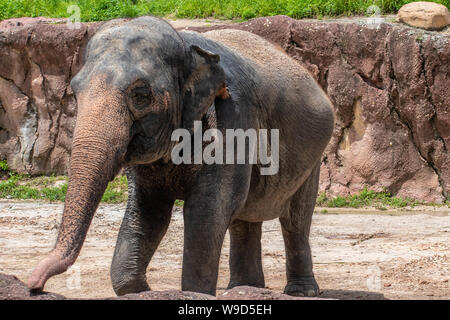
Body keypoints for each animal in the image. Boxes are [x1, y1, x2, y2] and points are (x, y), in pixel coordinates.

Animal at [25, 16, 334, 298]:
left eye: (140, 95)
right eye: (75, 92)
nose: (34, 285)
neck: (186, 45)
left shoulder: (232, 119)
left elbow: (207, 210)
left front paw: (194, 294)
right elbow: (148, 211)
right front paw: (139, 290)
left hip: (313, 156)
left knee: (295, 219)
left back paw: (300, 291)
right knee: (244, 219)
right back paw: (243, 289)